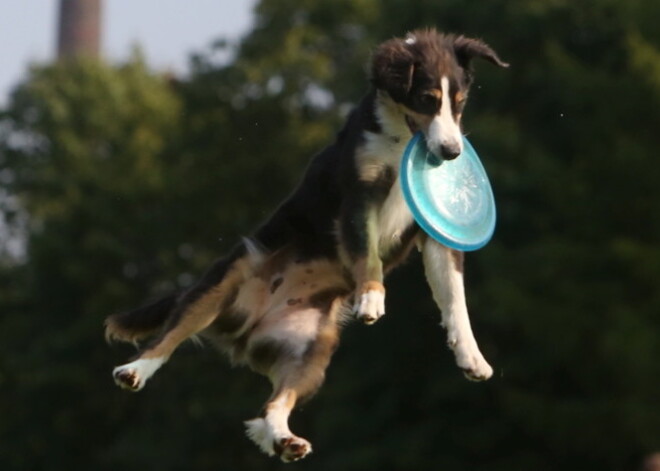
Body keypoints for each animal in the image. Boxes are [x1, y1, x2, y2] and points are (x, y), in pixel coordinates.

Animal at [105, 27, 508, 462]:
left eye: (460, 104)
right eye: (426, 99)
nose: (452, 153)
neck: (400, 140)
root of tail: (251, 325)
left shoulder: (432, 232)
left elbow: (454, 297)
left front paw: (472, 358)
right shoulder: (359, 197)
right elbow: (368, 257)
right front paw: (372, 299)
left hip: (311, 351)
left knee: (271, 407)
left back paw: (286, 440)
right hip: (226, 278)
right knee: (169, 336)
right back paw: (134, 371)